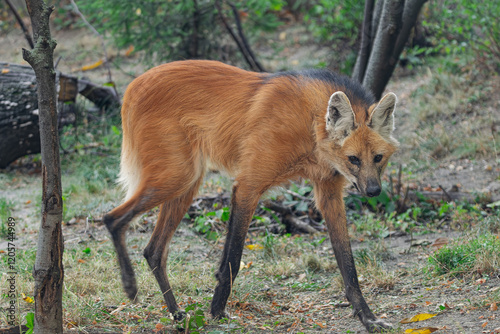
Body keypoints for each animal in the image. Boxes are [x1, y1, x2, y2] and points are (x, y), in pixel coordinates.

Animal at [104, 60, 398, 334]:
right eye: (353, 159)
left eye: (378, 158)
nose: (373, 191)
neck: (310, 123)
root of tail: (133, 85)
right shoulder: (248, 185)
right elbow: (232, 258)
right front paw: (217, 312)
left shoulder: (329, 192)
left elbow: (348, 265)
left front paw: (368, 318)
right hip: (177, 177)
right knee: (113, 219)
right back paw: (131, 287)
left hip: (187, 184)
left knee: (153, 250)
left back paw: (177, 314)